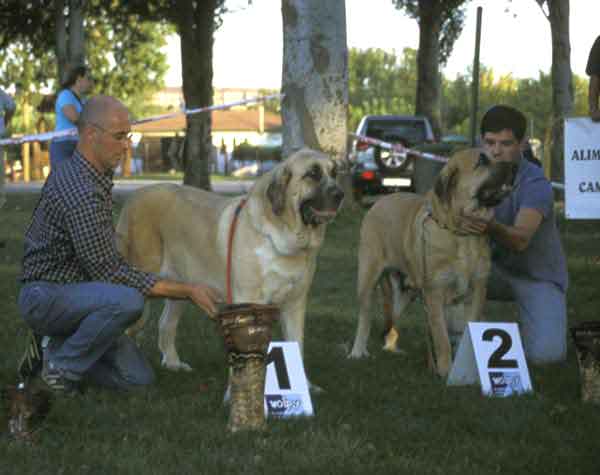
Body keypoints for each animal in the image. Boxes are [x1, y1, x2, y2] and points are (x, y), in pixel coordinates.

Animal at [115, 148, 344, 376]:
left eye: (334, 173)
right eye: (312, 174)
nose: (340, 194)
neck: (285, 238)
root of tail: (133, 197)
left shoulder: (294, 304)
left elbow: (297, 346)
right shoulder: (249, 300)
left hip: (180, 287)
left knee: (166, 324)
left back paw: (173, 363)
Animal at [346, 149, 516, 380]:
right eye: (481, 160)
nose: (515, 165)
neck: (460, 234)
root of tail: (380, 201)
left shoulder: (478, 290)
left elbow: (469, 331)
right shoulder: (435, 293)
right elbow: (441, 338)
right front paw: (445, 370)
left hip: (406, 293)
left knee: (391, 320)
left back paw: (392, 348)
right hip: (368, 279)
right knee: (365, 317)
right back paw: (358, 351)